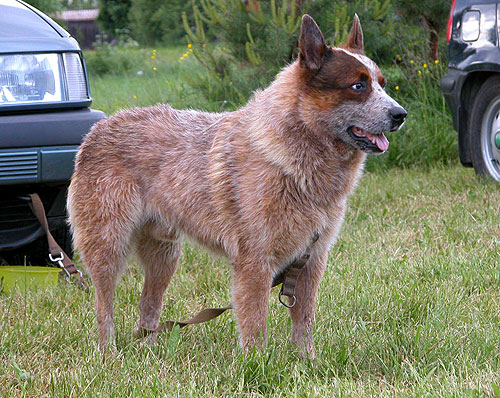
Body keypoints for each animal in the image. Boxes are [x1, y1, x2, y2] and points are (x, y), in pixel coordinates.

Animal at [67, 14, 406, 358]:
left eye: (382, 83)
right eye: (358, 85)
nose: (400, 114)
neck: (297, 161)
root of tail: (99, 128)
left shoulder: (312, 260)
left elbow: (304, 320)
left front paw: (307, 360)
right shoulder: (254, 261)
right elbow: (256, 322)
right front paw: (257, 363)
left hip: (165, 254)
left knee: (148, 304)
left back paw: (149, 350)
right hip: (108, 246)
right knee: (104, 305)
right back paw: (107, 353)